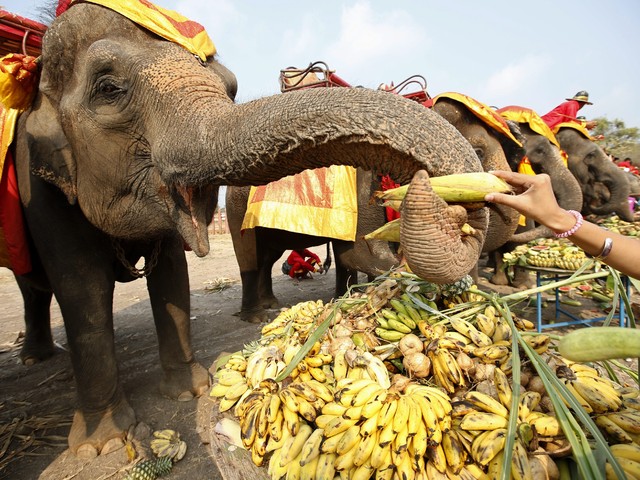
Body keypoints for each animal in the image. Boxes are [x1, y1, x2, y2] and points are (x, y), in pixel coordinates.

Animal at [5, 0, 488, 458]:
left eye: (231, 87)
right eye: (107, 88)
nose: (459, 214)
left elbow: (172, 274)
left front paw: (191, 391)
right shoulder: (37, 181)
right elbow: (82, 287)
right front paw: (102, 444)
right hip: (237, 214)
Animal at [226, 91, 524, 322]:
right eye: (479, 152)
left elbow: (349, 257)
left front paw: (346, 296)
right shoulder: (362, 187)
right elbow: (357, 254)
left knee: (267, 257)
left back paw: (270, 304)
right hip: (236, 210)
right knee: (249, 256)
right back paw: (256, 316)